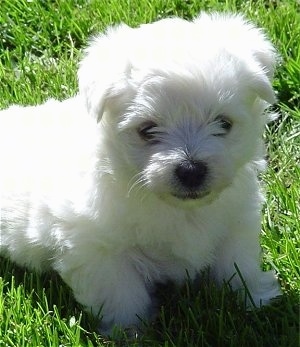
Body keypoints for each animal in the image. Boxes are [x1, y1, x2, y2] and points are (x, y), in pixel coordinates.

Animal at [0, 12, 282, 334]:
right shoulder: (98, 250)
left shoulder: (236, 220)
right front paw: (130, 330)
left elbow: (237, 262)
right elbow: (122, 293)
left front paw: (254, 297)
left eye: (224, 123)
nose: (191, 170)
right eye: (147, 130)